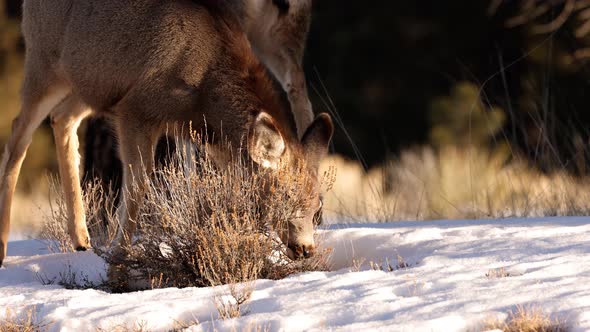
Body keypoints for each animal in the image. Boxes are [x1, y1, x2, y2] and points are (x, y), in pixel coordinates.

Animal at [0, 0, 332, 266]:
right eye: (285, 194)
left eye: (317, 202)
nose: (306, 249)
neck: (206, 90)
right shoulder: (135, 108)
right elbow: (138, 185)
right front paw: (120, 253)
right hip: (44, 62)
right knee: (18, 135)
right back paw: (4, 249)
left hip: (90, 83)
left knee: (61, 118)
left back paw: (81, 239)